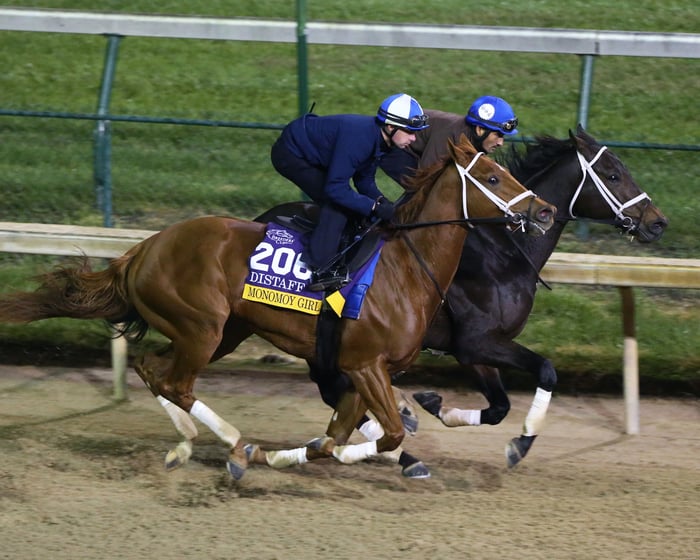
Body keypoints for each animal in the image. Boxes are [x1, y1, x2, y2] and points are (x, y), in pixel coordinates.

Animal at [0, 135, 556, 476]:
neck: (405, 267)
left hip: (220, 332)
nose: (545, 210)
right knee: (175, 382)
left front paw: (291, 457)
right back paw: (236, 444)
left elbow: (334, 436)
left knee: (150, 367)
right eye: (492, 177)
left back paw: (189, 444)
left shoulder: (364, 368)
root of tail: (143, 248)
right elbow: (385, 434)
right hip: (202, 328)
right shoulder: (366, 363)